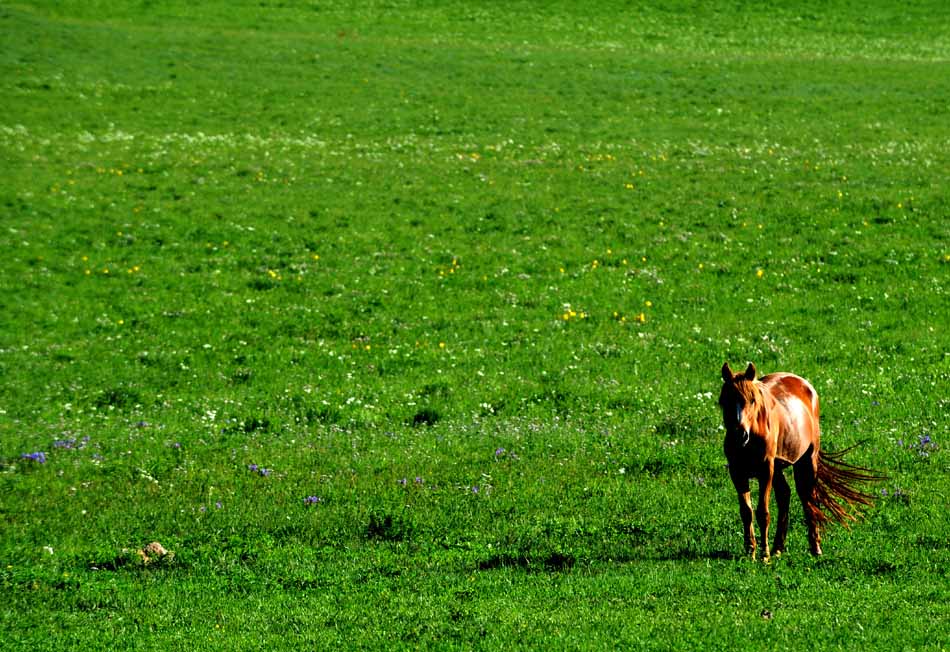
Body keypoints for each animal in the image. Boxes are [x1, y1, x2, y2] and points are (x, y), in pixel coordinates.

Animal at [720, 362, 884, 560]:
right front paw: (750, 552)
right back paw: (778, 548)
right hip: (779, 467)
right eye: (725, 401)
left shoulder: (766, 470)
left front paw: (764, 555)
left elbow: (762, 512)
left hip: (806, 461)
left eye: (752, 400)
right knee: (785, 495)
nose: (740, 435)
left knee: (809, 498)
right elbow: (746, 511)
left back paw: (815, 548)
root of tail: (803, 383)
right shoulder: (737, 472)